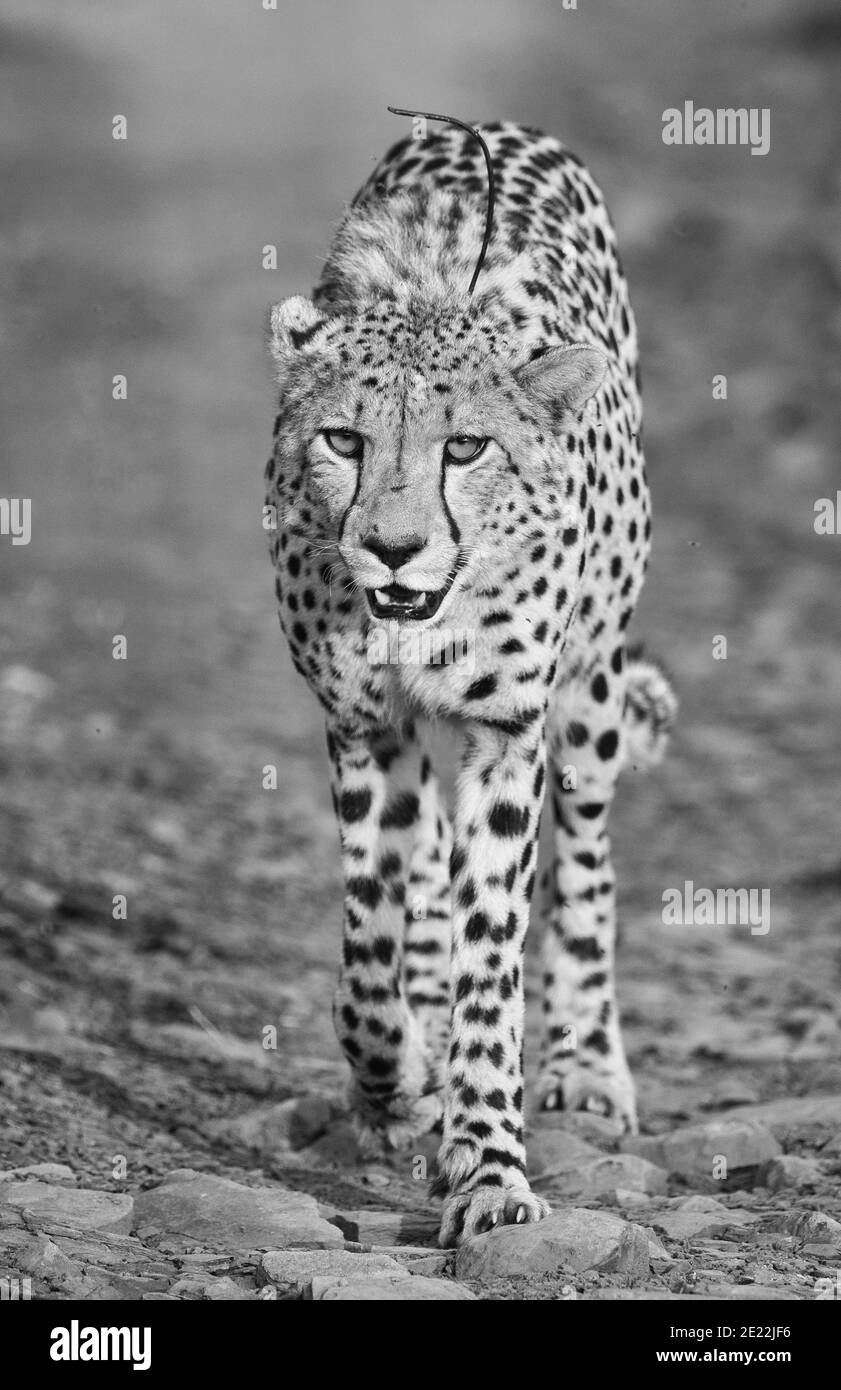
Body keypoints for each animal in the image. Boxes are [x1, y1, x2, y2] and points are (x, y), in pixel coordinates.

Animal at [263, 116, 677, 1246]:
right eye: (344, 440)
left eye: (466, 448)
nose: (394, 549)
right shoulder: (363, 724)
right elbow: (370, 930)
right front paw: (393, 1080)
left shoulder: (508, 731)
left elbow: (495, 950)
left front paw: (489, 1166)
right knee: (424, 881)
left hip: (588, 697)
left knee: (583, 864)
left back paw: (586, 1063)